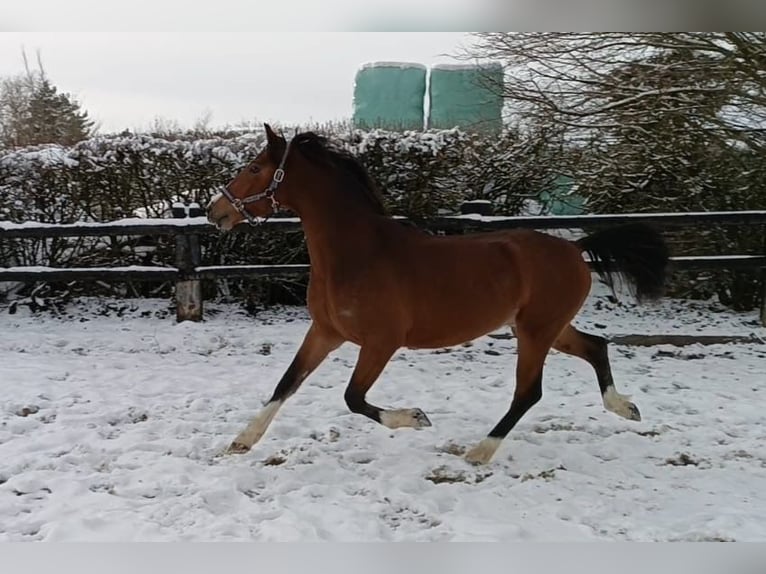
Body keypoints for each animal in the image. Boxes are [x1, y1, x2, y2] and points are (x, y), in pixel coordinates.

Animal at [207, 124, 668, 466]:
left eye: (254, 167)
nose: (216, 211)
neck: (357, 255)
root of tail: (575, 248)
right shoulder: (325, 332)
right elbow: (286, 383)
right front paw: (241, 441)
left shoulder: (381, 342)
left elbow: (353, 398)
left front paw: (417, 417)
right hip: (548, 327)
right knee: (596, 346)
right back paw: (625, 408)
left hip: (536, 331)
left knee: (529, 392)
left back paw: (479, 452)